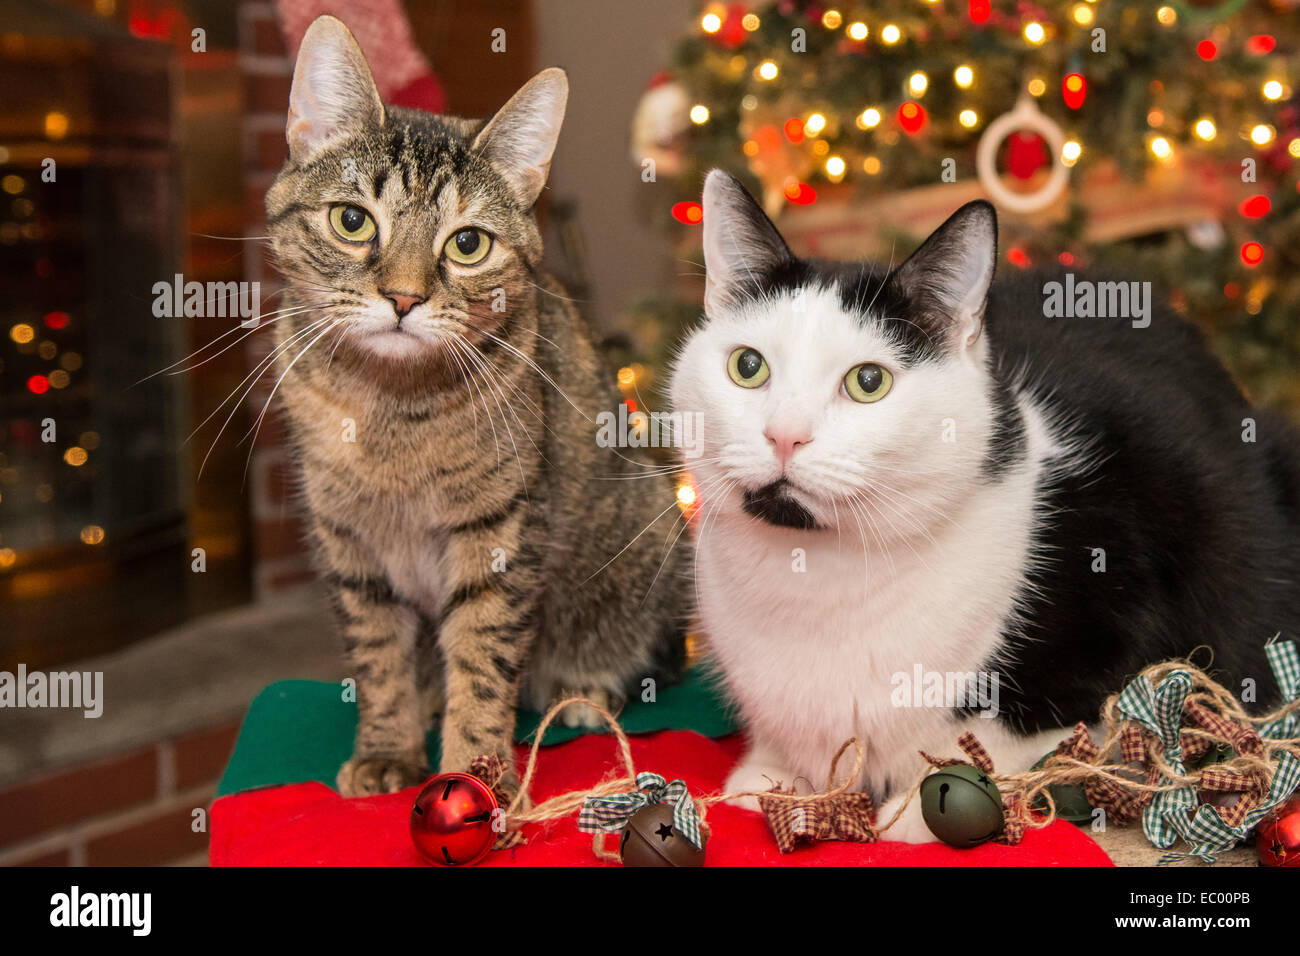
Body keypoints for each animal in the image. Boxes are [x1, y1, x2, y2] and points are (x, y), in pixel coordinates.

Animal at [266, 16, 691, 801]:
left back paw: (582, 687)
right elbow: (378, 657)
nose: (403, 297)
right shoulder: (348, 538)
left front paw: (474, 772)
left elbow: (483, 661)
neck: (391, 406)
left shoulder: (500, 532)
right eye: (351, 221)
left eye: (467, 244)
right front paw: (389, 744)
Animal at [670, 167, 1300, 842]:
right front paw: (769, 776)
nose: (784, 435)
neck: (814, 575)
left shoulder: (1119, 615)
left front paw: (913, 813)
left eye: (869, 382)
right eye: (748, 366)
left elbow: (1018, 729)